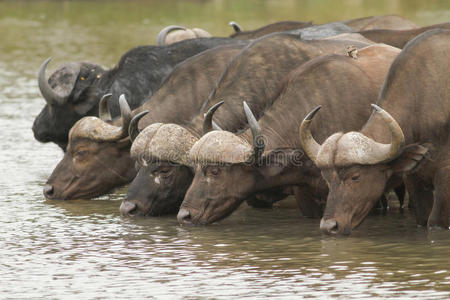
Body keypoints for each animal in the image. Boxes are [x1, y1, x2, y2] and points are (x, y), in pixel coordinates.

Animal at [298, 28, 450, 234]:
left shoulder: (445, 175)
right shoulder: (413, 177)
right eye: (327, 178)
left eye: (355, 177)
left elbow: (435, 221)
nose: (330, 226)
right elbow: (423, 216)